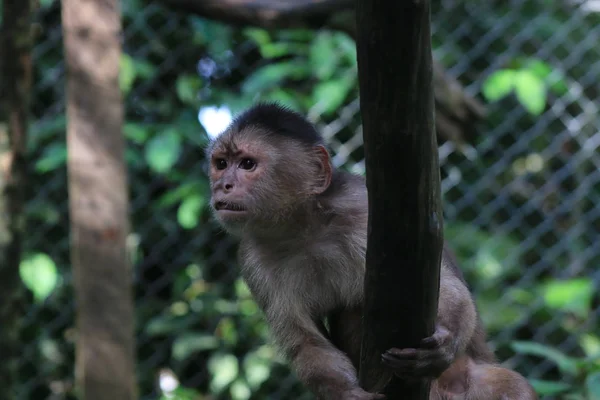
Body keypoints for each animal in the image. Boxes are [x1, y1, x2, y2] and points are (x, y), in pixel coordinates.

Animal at [205, 103, 536, 400]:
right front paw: (349, 393)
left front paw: (446, 343)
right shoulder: (251, 258)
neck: (304, 229)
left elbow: (445, 286)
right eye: (221, 164)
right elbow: (304, 341)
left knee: (510, 387)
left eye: (247, 164)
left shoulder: (363, 212)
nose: (223, 185)